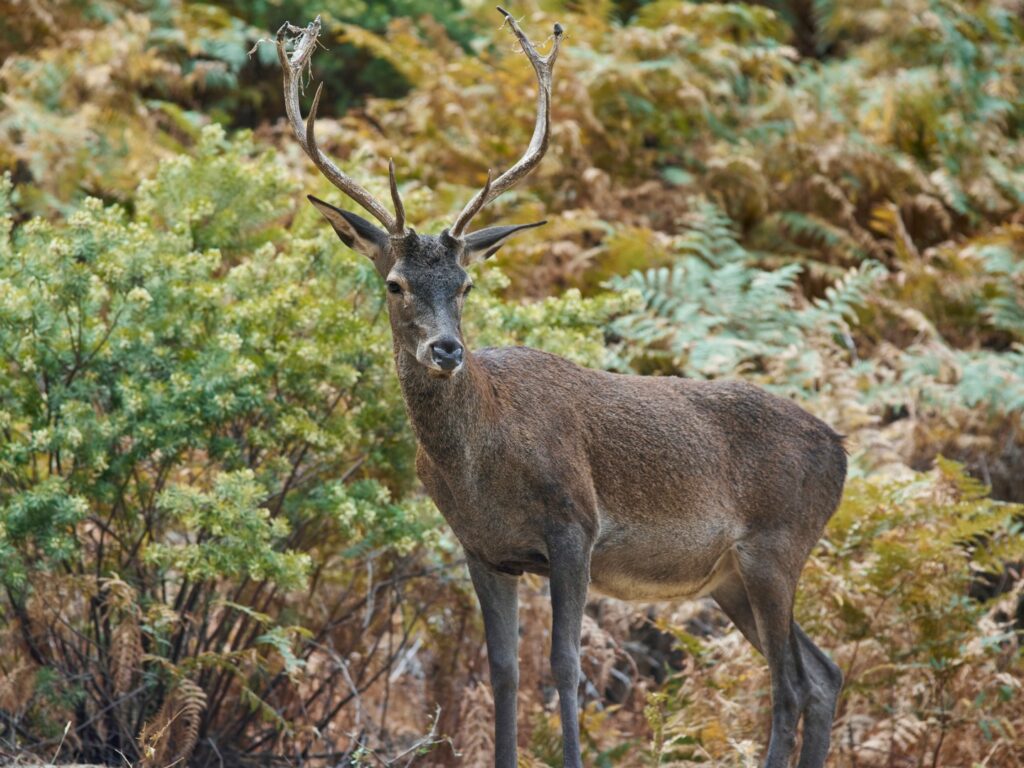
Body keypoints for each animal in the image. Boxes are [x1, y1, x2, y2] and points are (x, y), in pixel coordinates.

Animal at [276, 9, 846, 768]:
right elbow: (502, 671)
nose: (446, 348)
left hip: (777, 546)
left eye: (466, 284)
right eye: (395, 283)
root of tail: (843, 450)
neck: (478, 463)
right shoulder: (484, 548)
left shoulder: (575, 524)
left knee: (790, 683)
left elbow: (565, 666)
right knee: (823, 673)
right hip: (730, 577)